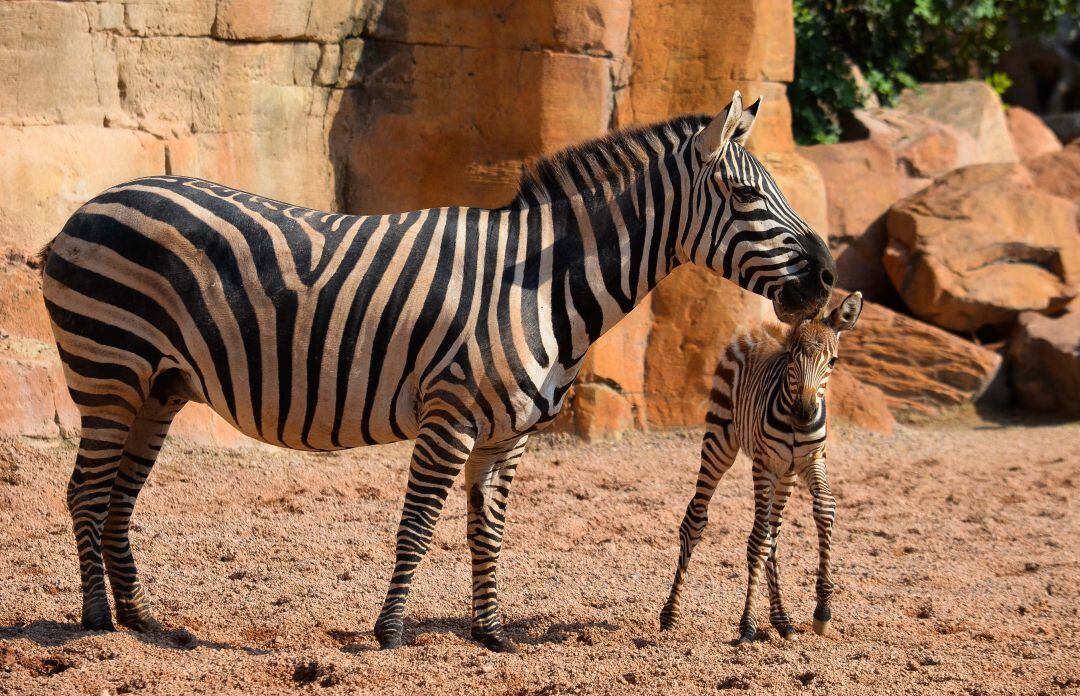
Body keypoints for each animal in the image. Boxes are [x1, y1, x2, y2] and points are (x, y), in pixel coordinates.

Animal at [39, 92, 833, 652]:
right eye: (747, 196)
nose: (827, 277)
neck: (540, 284)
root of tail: (93, 202)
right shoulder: (450, 414)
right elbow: (418, 525)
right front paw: (390, 633)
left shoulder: (509, 431)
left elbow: (489, 530)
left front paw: (490, 632)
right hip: (109, 371)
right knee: (86, 492)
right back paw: (95, 619)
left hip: (159, 386)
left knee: (119, 497)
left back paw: (140, 618)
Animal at [656, 291, 859, 644]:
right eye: (791, 357)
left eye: (833, 362)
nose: (804, 414)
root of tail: (758, 330)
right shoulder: (764, 465)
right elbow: (756, 541)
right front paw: (747, 625)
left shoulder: (811, 460)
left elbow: (824, 509)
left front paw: (822, 609)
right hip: (721, 440)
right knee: (696, 520)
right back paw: (670, 615)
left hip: (785, 474)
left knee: (773, 534)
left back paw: (782, 620)